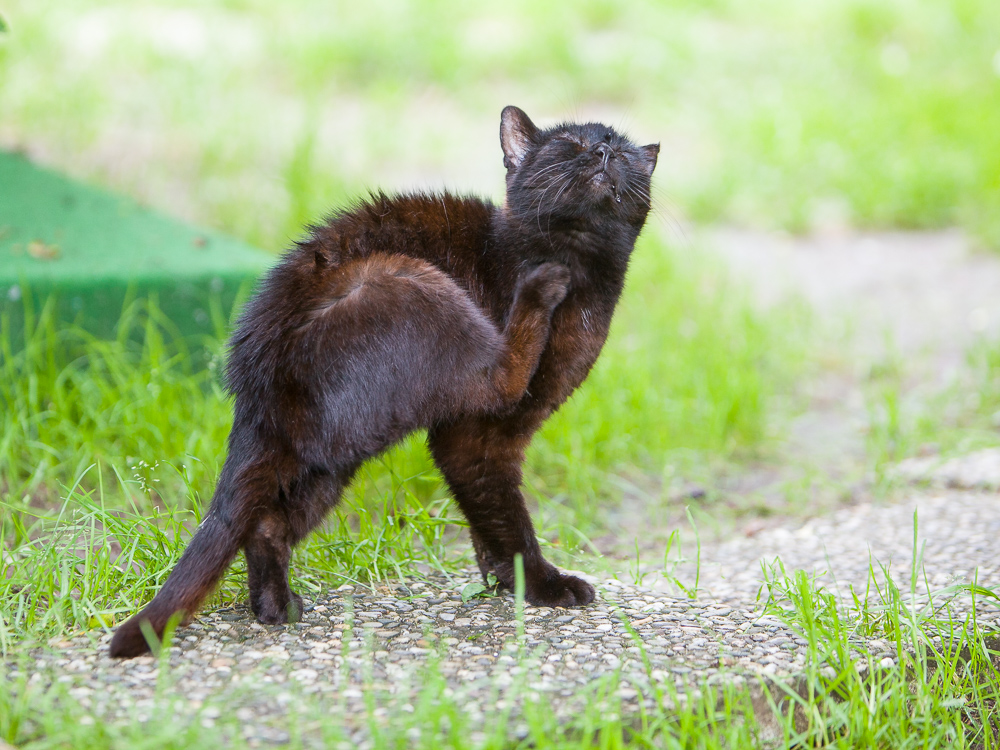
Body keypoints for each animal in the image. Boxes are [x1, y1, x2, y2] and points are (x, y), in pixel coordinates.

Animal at [109, 106, 656, 656]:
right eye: (571, 144)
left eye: (625, 151)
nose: (604, 151)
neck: (585, 274)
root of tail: (253, 380)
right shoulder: (475, 437)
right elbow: (509, 518)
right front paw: (541, 585)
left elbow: (490, 514)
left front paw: (499, 580)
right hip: (408, 281)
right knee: (502, 374)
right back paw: (541, 288)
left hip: (326, 459)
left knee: (266, 523)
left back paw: (275, 607)